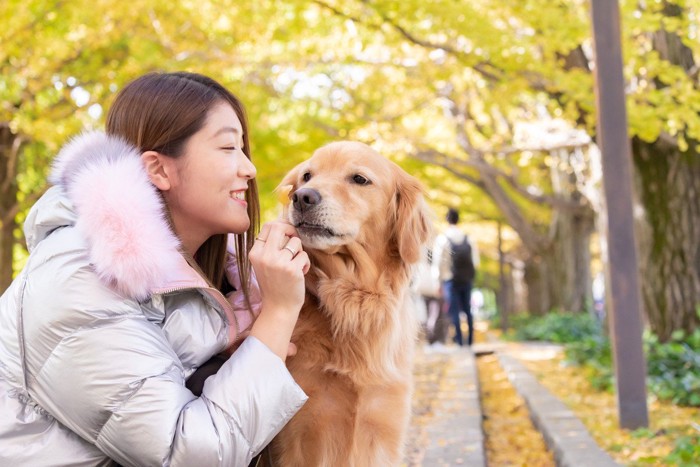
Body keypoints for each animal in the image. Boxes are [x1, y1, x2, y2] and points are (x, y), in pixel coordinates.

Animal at [266, 141, 432, 466]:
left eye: (359, 179)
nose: (302, 197)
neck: (353, 300)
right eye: (307, 176)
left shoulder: (385, 428)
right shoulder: (299, 435)